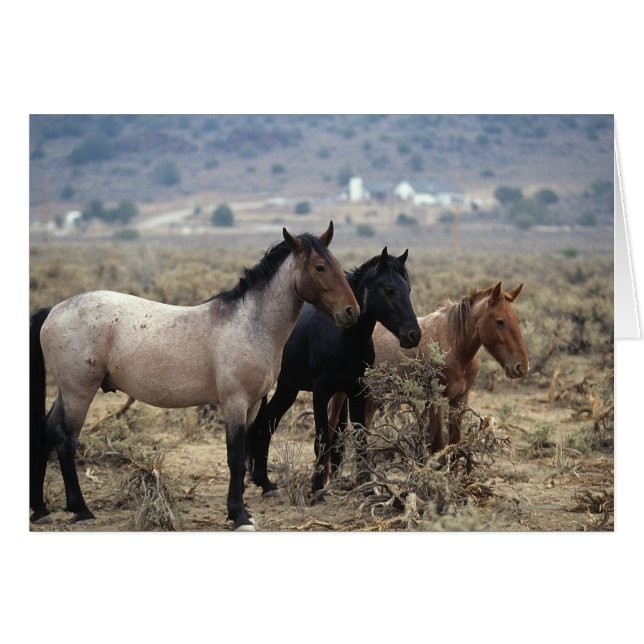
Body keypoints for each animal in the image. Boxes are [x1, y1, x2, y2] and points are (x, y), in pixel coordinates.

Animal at [30, 222, 360, 531]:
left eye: (336, 265)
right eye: (319, 267)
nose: (351, 312)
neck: (249, 324)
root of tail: (54, 309)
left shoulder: (253, 405)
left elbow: (245, 451)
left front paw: (242, 510)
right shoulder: (235, 403)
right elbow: (235, 458)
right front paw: (239, 515)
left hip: (67, 393)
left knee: (47, 432)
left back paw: (42, 510)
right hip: (79, 392)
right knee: (66, 441)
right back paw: (81, 509)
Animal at [245, 247, 421, 498]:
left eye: (408, 289)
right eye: (389, 289)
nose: (413, 335)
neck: (342, 337)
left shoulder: (356, 391)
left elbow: (359, 437)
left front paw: (367, 487)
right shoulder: (321, 391)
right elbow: (323, 438)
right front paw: (317, 488)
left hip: (288, 388)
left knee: (267, 423)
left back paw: (265, 483)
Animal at [328, 282, 529, 455]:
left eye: (518, 320)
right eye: (500, 321)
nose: (521, 366)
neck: (454, 346)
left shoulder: (460, 400)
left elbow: (455, 445)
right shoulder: (435, 400)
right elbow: (439, 445)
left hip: (372, 396)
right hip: (342, 395)